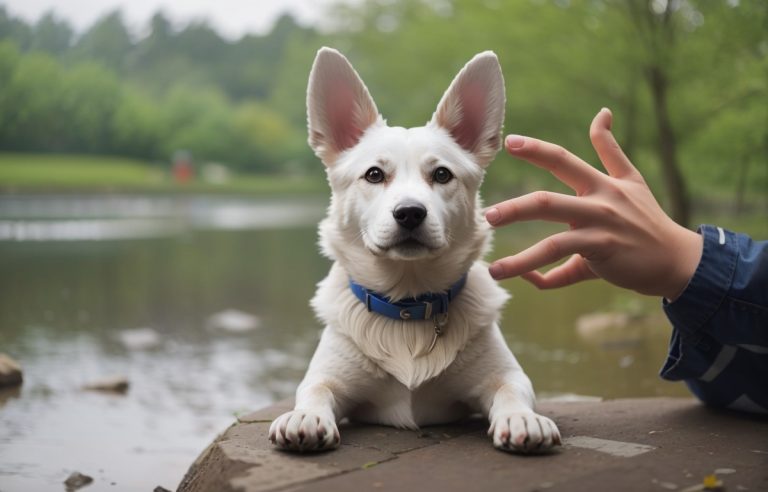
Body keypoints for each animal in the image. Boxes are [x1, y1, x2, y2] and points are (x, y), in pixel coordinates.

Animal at [268, 49, 560, 454]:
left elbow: (512, 391)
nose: (409, 213)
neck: (408, 305)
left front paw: (523, 418)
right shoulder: (329, 375)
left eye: (442, 174)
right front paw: (305, 416)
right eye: (374, 174)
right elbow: (314, 390)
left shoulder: (503, 373)